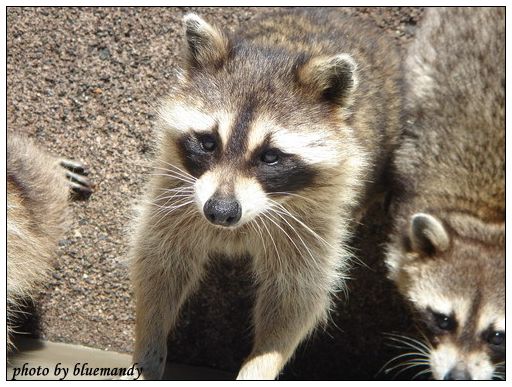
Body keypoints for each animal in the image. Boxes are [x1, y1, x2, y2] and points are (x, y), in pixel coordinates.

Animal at [130, 7, 402, 380]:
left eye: (270, 157)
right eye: (208, 142)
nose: (220, 212)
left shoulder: (316, 215)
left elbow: (296, 294)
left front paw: (261, 363)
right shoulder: (176, 187)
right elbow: (160, 259)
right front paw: (150, 341)